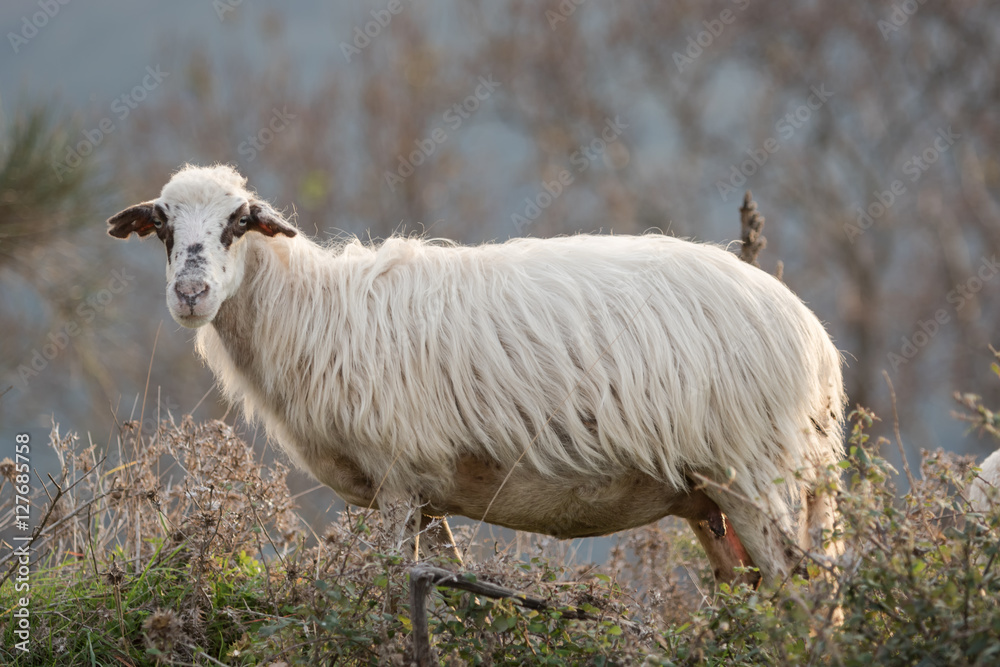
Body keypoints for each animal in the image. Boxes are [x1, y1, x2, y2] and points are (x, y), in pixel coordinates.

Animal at [107, 164, 846, 587]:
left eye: (239, 222)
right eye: (162, 228)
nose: (191, 294)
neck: (312, 309)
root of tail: (815, 340)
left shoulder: (396, 482)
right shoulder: (425, 495)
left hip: (755, 473)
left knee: (806, 592)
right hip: (708, 497)